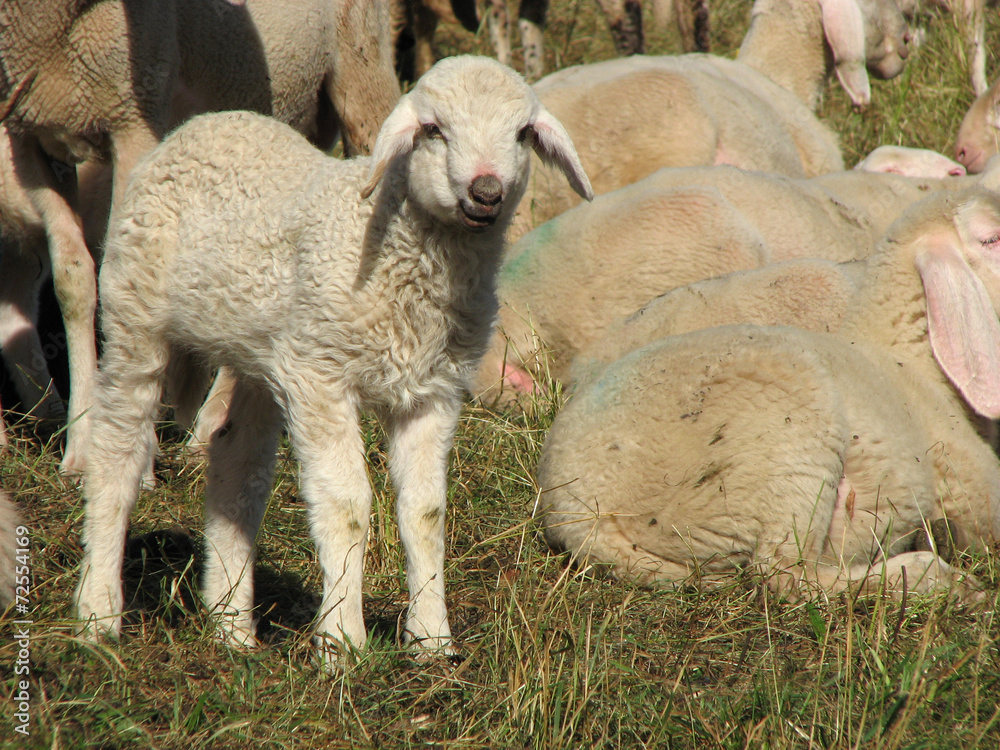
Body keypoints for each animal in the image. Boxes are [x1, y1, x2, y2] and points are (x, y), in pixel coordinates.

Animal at [73, 56, 593, 664]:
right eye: (433, 129)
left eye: (523, 134)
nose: (485, 191)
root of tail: (203, 125)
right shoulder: (321, 377)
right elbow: (346, 505)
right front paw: (342, 639)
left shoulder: (433, 391)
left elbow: (425, 512)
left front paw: (431, 639)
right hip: (136, 314)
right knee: (118, 450)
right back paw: (99, 612)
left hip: (265, 350)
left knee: (237, 466)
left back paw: (231, 625)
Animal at [536, 187, 1000, 601]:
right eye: (992, 238)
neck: (910, 363)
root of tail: (577, 513)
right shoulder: (970, 486)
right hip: (791, 441)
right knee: (787, 574)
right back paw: (940, 579)